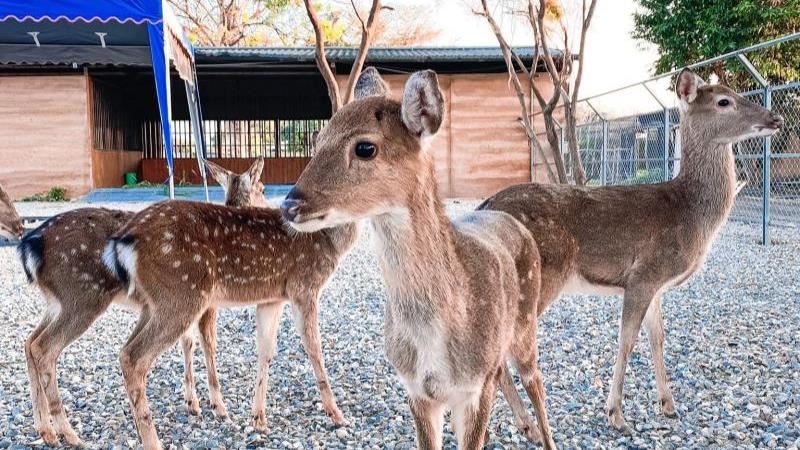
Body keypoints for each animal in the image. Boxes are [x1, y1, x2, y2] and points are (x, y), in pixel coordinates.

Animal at [16, 159, 265, 447]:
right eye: (261, 187)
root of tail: (29, 245)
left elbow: (187, 344)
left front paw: (192, 403)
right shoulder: (206, 304)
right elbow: (208, 346)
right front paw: (219, 407)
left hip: (56, 301)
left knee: (30, 341)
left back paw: (45, 430)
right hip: (83, 295)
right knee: (45, 348)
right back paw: (69, 433)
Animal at [104, 167, 359, 450]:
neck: (327, 240)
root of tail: (123, 240)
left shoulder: (272, 298)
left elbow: (265, 351)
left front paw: (258, 419)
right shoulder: (304, 286)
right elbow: (314, 348)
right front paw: (337, 415)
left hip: (155, 303)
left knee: (127, 349)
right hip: (182, 294)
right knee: (133, 356)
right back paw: (153, 440)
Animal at [279, 68, 556, 449]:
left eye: (365, 147)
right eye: (318, 139)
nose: (290, 204)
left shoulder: (474, 389)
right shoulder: (416, 390)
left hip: (526, 322)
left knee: (536, 379)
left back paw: (545, 435)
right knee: (505, 371)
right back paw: (525, 427)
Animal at [478, 68, 784, 431]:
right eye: (724, 101)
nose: (776, 118)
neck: (688, 212)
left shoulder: (656, 285)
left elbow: (657, 338)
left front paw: (668, 405)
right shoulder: (644, 273)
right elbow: (626, 340)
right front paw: (616, 414)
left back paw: (522, 423)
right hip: (538, 280)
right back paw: (527, 424)